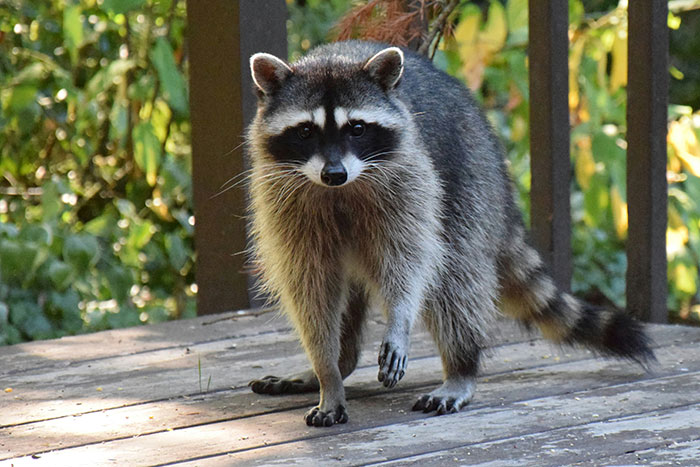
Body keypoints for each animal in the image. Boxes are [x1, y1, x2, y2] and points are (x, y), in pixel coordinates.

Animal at [243, 40, 652, 428]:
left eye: (356, 128)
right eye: (305, 131)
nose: (334, 174)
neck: (340, 190)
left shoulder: (409, 179)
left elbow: (409, 261)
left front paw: (399, 318)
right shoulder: (284, 200)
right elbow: (310, 288)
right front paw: (327, 372)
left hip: (468, 179)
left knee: (455, 280)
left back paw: (461, 368)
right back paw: (340, 363)